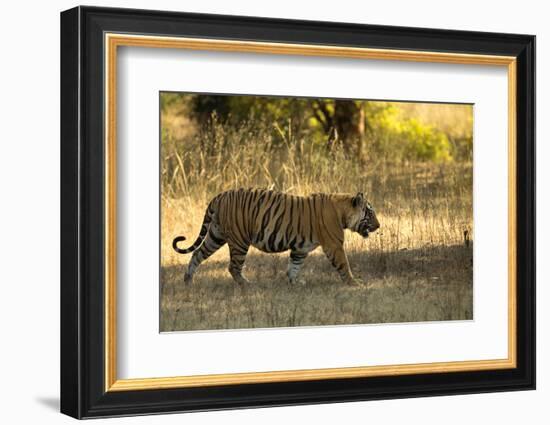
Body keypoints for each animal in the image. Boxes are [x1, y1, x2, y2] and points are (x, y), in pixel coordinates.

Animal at [175, 188, 382, 284]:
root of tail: (219, 196)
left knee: (197, 254)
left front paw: (295, 282)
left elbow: (294, 266)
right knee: (233, 267)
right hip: (239, 240)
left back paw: (188, 280)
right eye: (370, 213)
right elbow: (344, 265)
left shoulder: (300, 248)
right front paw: (354, 283)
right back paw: (247, 284)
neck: (343, 211)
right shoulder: (334, 245)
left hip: (215, 235)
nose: (379, 225)